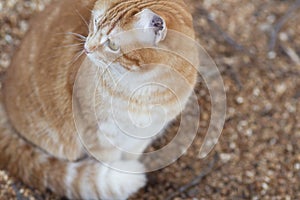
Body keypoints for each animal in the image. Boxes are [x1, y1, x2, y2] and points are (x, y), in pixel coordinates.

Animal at [0, 0, 199, 199]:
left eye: (112, 44)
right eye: (95, 23)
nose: (87, 48)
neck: (146, 89)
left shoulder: (144, 135)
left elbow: (131, 155)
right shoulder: (98, 136)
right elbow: (109, 165)